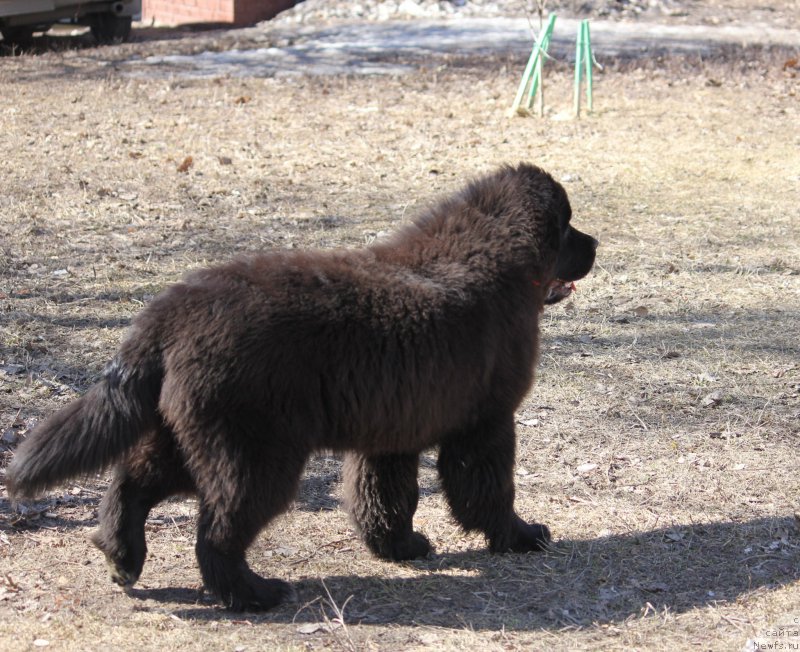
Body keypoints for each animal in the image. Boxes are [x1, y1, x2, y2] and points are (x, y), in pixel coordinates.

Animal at [6, 163, 592, 612]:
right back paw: (252, 594)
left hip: (187, 433)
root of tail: (171, 310)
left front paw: (398, 546)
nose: (596, 243)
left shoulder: (392, 430)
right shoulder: (486, 421)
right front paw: (519, 537)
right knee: (216, 531)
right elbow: (489, 489)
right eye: (568, 226)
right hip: (256, 452)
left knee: (131, 483)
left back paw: (120, 556)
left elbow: (384, 496)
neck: (490, 255)